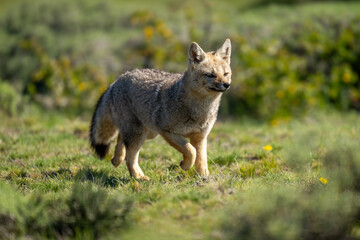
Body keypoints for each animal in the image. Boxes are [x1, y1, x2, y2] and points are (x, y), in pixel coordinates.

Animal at [88, 39, 232, 180]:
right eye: (210, 75)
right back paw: (138, 176)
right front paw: (185, 165)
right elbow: (191, 151)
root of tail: (117, 80)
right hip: (139, 133)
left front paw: (204, 177)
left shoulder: (200, 137)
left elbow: (201, 159)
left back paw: (117, 159)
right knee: (130, 156)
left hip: (147, 133)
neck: (198, 111)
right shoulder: (166, 130)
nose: (227, 84)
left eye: (226, 74)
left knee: (121, 138)